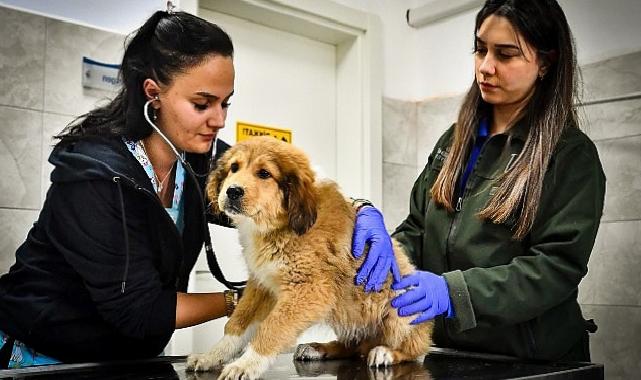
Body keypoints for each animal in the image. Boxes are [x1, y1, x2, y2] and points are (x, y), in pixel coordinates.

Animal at [188, 137, 432, 380]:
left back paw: (386, 352)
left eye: (264, 173)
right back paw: (318, 349)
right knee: (353, 345)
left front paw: (246, 364)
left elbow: (272, 327)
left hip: (402, 305)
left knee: (414, 348)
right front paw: (211, 356)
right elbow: (237, 324)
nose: (232, 191)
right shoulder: (262, 285)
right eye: (234, 168)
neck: (280, 225)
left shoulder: (310, 289)